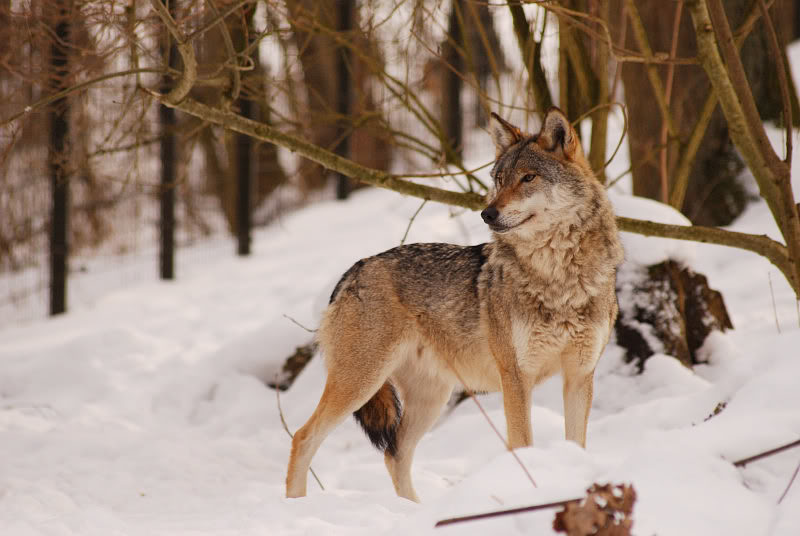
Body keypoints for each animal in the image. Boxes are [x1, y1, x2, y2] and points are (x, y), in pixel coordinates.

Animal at [285, 107, 624, 502]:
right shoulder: (516, 378)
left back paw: (414, 510)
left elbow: (577, 445)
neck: (559, 279)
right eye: (498, 179)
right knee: (303, 438)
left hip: (429, 399)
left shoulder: (579, 375)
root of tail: (352, 271)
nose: (487, 214)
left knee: (395, 454)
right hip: (361, 384)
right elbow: (522, 444)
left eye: (528, 178)